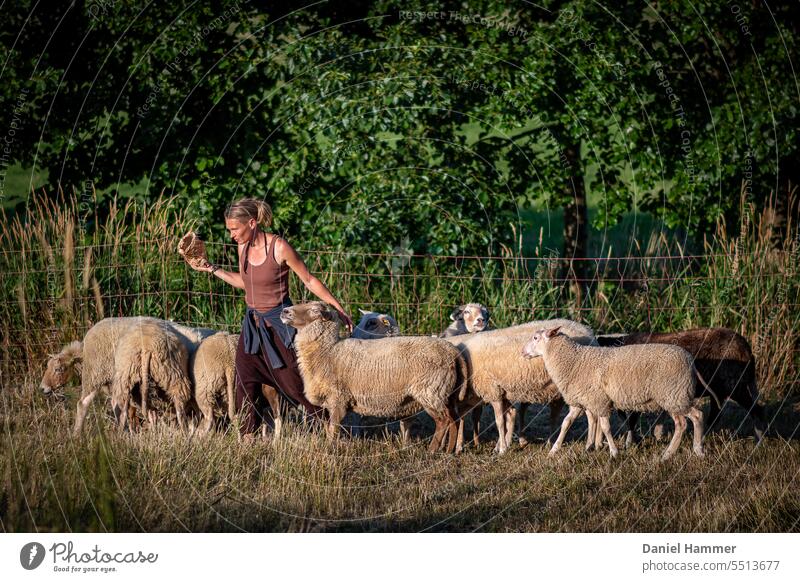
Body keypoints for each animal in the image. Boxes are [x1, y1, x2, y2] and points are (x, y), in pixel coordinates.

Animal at [280, 304, 462, 454]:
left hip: (431, 391)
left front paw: (330, 448)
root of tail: (452, 352)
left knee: (443, 421)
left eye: (315, 310)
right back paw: (449, 449)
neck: (328, 352)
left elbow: (334, 428)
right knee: (454, 419)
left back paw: (433, 450)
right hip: (445, 393)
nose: (284, 311)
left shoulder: (339, 399)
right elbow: (329, 426)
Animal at [444, 320, 592, 456]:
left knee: (564, 416)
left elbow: (499, 421)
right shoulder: (498, 392)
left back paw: (554, 445)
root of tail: (587, 331)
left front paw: (501, 448)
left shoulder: (493, 391)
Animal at [524, 328, 712, 460]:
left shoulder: (600, 401)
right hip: (674, 396)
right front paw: (554, 450)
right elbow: (566, 423)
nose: (522, 352)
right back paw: (685, 452)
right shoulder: (582, 401)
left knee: (690, 419)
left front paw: (614, 452)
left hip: (673, 394)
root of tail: (690, 360)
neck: (574, 361)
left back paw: (683, 452)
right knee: (689, 420)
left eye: (535, 338)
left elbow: (606, 427)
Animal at [596, 328, 764, 442]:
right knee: (716, 413)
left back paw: (759, 440)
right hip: (719, 390)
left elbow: (630, 419)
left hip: (735, 385)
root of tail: (747, 350)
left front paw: (632, 442)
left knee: (756, 410)